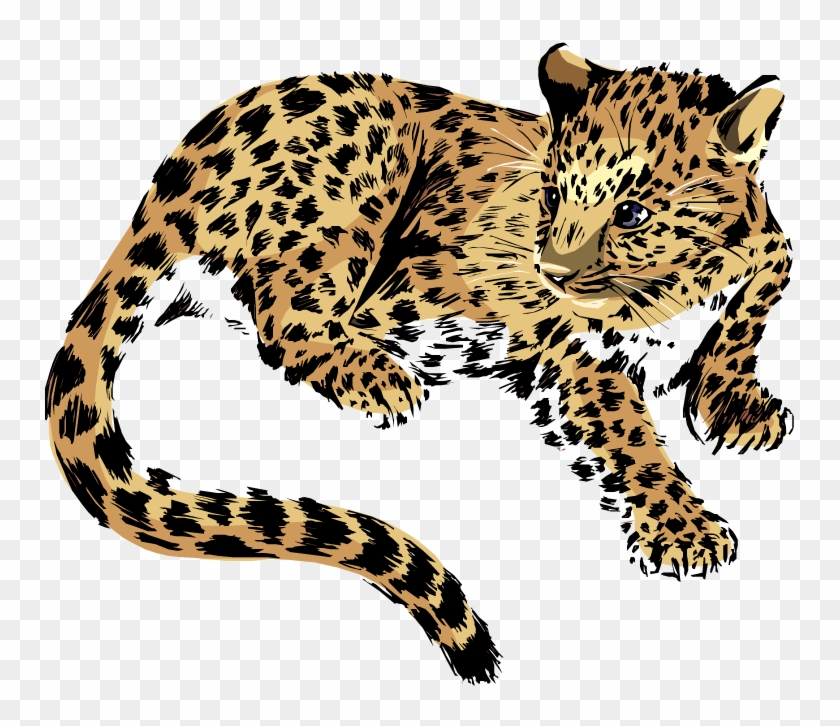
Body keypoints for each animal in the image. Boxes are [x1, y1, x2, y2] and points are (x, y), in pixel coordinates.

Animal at [45, 44, 793, 683]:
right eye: (552, 196)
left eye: (632, 212)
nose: (548, 269)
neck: (684, 282)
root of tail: (171, 183)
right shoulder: (575, 356)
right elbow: (632, 438)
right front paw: (684, 528)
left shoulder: (773, 249)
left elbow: (754, 302)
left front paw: (737, 404)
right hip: (366, 164)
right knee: (285, 319)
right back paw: (382, 378)